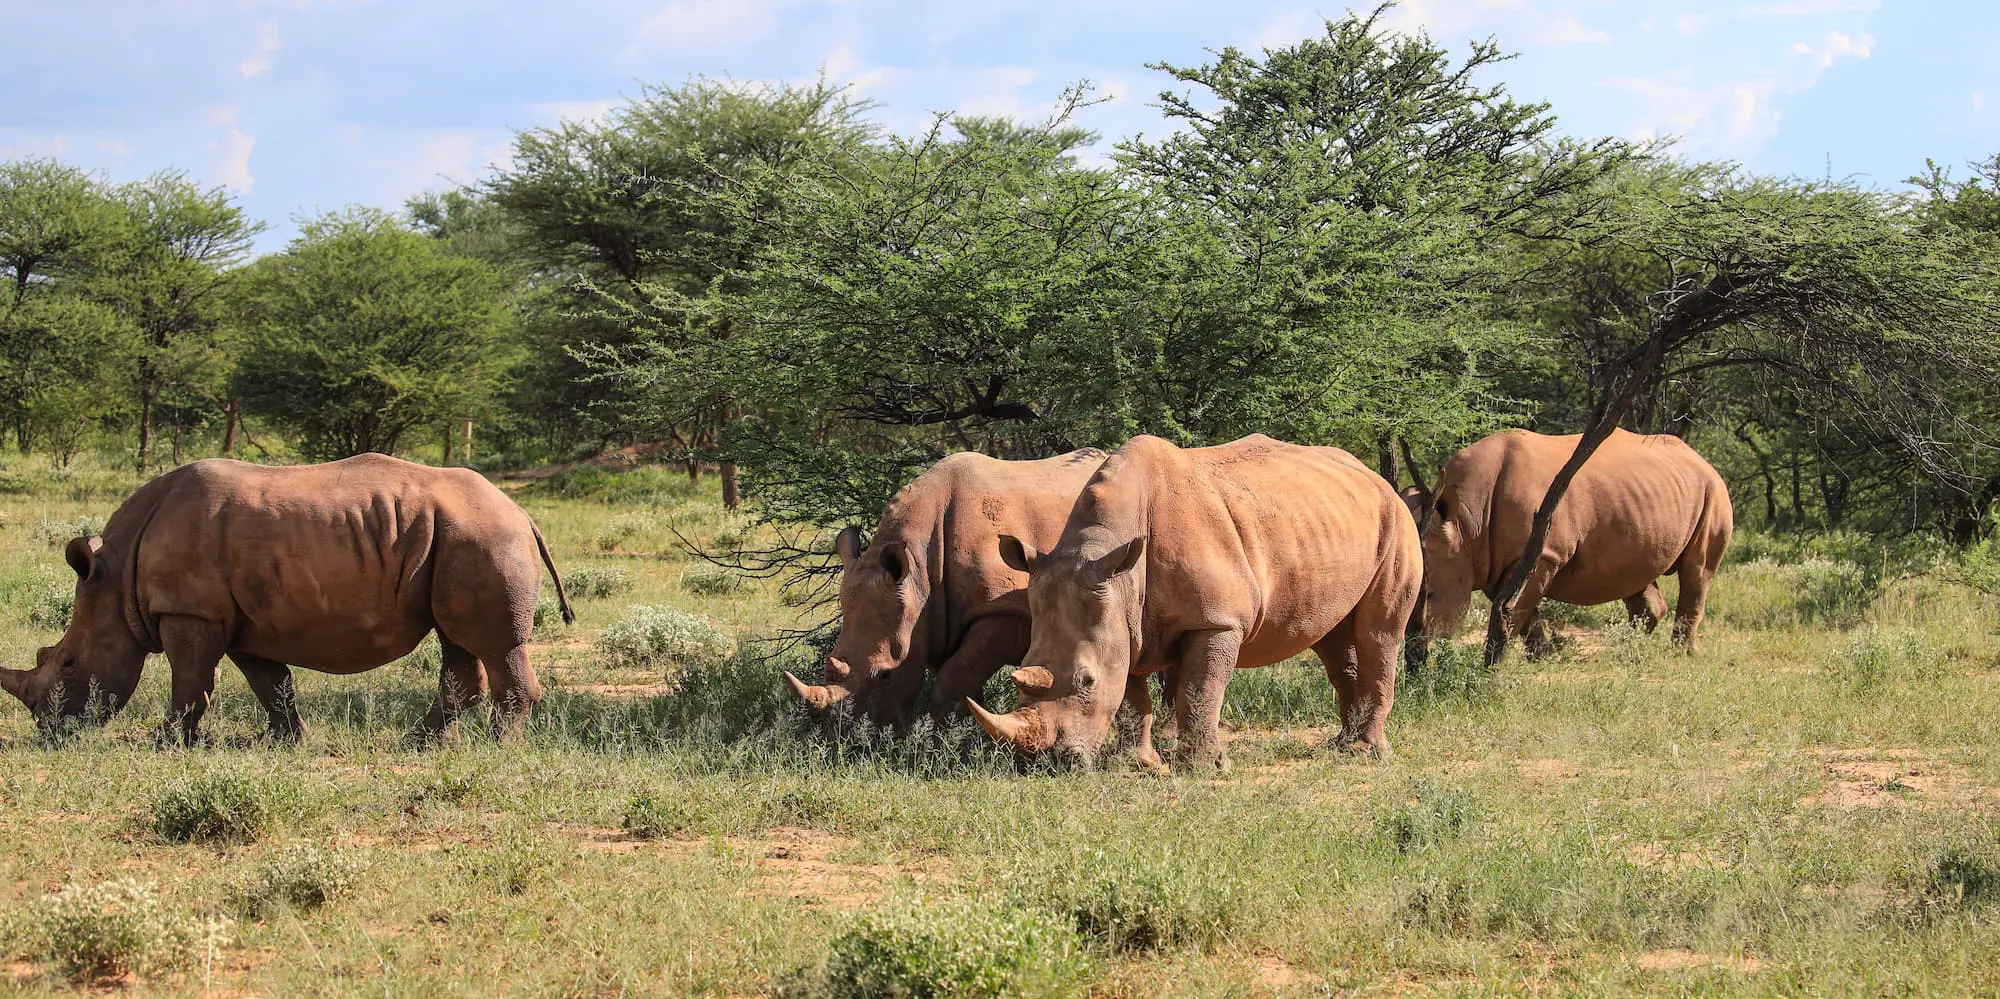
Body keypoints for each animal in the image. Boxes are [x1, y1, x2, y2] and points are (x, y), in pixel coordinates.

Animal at [1, 454, 574, 744]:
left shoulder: (189, 611)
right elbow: (270, 682)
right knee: (457, 641)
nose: (50, 732)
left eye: (68, 663)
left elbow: (189, 680)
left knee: (491, 644)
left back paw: (493, 747)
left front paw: (161, 742)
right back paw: (420, 742)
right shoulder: (241, 620)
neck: (116, 580)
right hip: (457, 537)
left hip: (481, 537)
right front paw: (287, 740)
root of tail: (521, 512)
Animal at [784, 448, 1110, 728]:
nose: (841, 736)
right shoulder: (937, 618)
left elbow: (955, 677)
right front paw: (961, 729)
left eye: (886, 676)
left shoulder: (1004, 610)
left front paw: (943, 737)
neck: (920, 572)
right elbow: (961, 677)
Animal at [967, 434, 1422, 770]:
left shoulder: (1217, 620)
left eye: (1086, 681)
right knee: (1331, 637)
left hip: (1398, 520)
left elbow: (1201, 687)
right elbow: (1131, 694)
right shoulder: (1122, 616)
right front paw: (1139, 765)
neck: (1112, 561)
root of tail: (1373, 476)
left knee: (1378, 633)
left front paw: (1203, 767)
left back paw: (1367, 753)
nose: (1048, 762)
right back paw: (1342, 746)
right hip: (1325, 524)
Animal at [1416, 428, 1733, 655]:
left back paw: (1681, 654)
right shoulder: (1493, 560)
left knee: (1697, 572)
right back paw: (1628, 647)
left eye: (1430, 594)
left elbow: (1516, 608)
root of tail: (1702, 460)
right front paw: (1542, 655)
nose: (1419, 649)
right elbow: (1517, 609)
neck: (1467, 522)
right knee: (1637, 572)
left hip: (1714, 491)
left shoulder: (1542, 554)